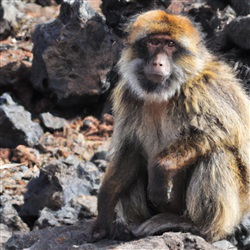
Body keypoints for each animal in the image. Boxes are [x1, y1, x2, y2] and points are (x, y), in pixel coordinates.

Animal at [92, 10, 250, 244]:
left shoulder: (201, 89)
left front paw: (161, 169)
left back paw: (198, 227)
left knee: (216, 154)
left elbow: (224, 130)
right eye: (153, 42)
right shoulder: (129, 96)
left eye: (169, 45)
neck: (163, 94)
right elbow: (130, 151)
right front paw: (104, 209)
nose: (158, 63)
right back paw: (133, 226)